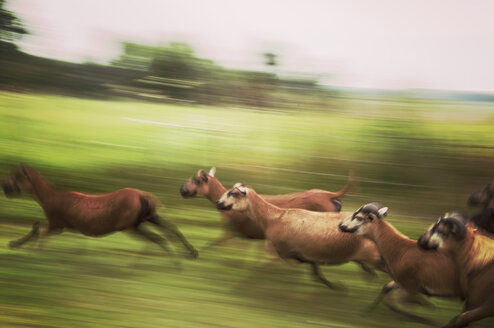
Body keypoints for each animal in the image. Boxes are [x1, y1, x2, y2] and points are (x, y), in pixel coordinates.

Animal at [2, 165, 199, 260]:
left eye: (17, 176)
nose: (5, 187)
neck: (48, 197)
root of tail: (145, 197)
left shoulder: (57, 223)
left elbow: (39, 228)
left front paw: (32, 250)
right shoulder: (59, 224)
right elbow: (37, 227)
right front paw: (16, 244)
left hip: (130, 225)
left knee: (158, 238)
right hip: (148, 217)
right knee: (171, 229)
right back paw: (191, 253)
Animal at [214, 183, 384, 288]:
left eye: (233, 193)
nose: (217, 203)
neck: (274, 217)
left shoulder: (281, 253)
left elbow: (260, 268)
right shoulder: (298, 254)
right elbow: (315, 271)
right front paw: (334, 285)